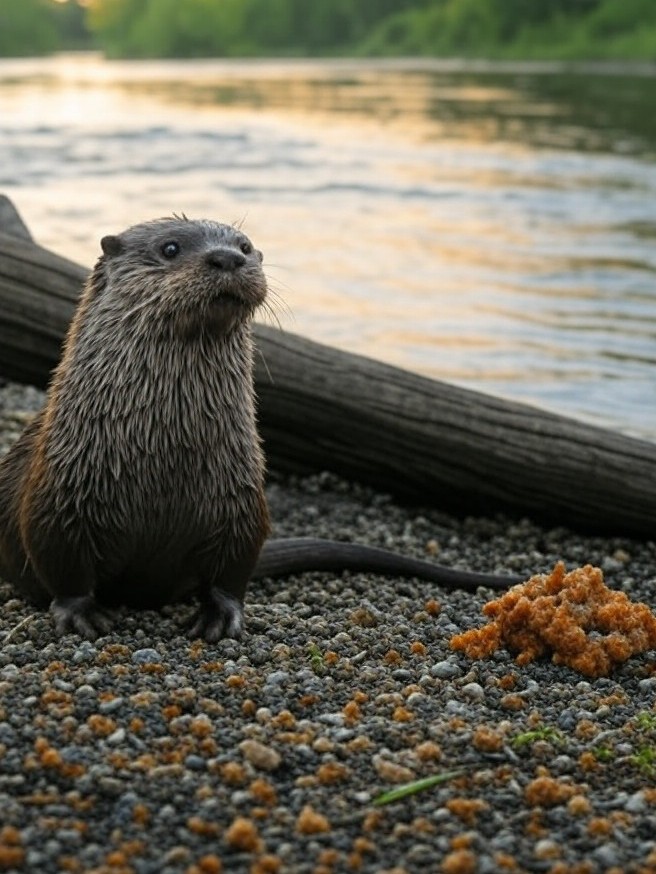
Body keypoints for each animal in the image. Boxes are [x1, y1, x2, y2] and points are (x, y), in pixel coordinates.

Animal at [0, 217, 521, 642]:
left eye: (246, 245)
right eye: (170, 247)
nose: (228, 257)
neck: (164, 456)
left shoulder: (241, 500)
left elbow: (232, 571)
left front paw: (221, 616)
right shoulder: (61, 495)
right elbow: (62, 564)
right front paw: (79, 614)